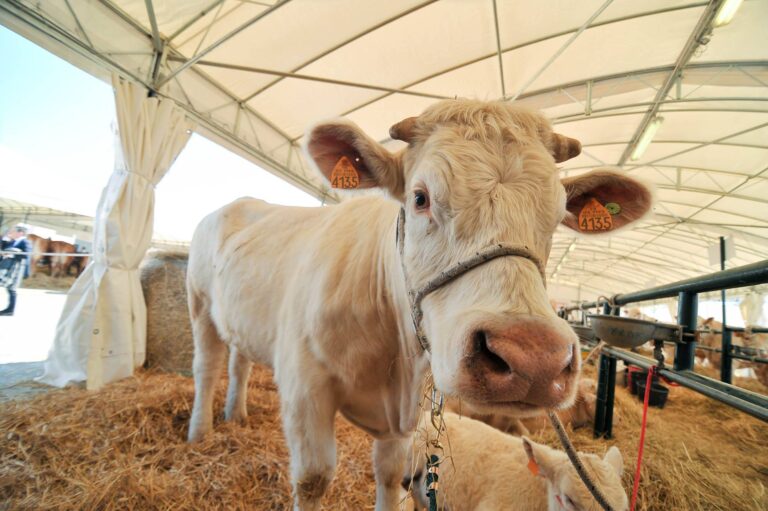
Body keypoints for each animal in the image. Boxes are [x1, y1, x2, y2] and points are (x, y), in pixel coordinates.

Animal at [188, 98, 656, 510]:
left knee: (239, 361)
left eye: (558, 215)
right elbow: (313, 479)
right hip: (199, 303)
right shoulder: (305, 387)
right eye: (419, 198)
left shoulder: (404, 417)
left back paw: (237, 414)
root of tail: (244, 202)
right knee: (207, 366)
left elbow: (390, 473)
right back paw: (200, 432)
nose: (533, 359)